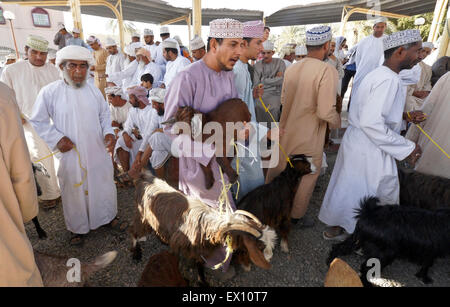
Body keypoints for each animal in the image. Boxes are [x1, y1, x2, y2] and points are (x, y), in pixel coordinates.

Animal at [130, 172, 276, 286]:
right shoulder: (186, 248)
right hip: (142, 215)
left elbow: (199, 265)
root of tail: (144, 178)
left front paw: (203, 281)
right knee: (134, 231)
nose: (269, 258)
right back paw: (136, 253)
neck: (206, 224)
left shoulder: (199, 250)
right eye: (260, 245)